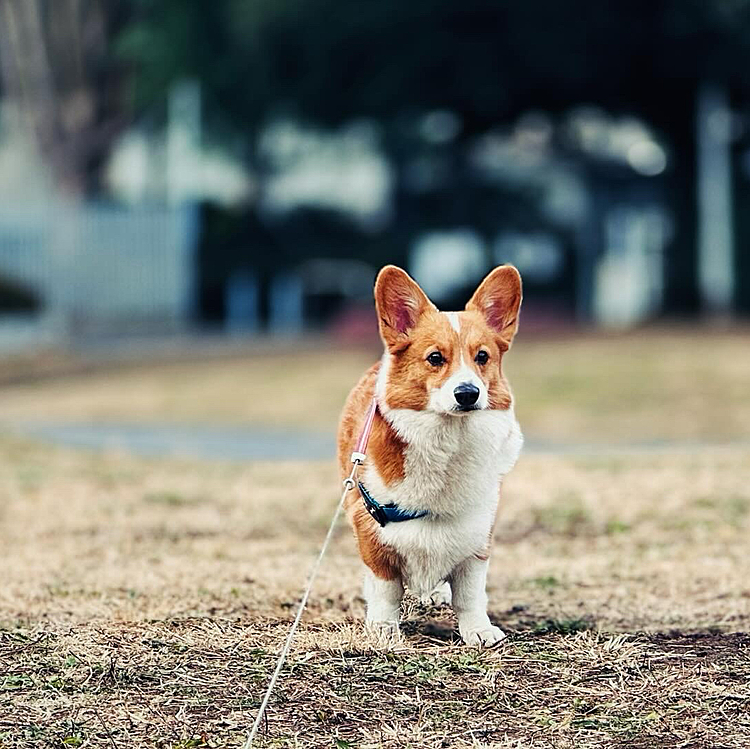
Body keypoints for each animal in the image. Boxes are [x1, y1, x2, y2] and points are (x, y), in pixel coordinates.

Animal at [340, 266, 524, 644]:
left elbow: (470, 592)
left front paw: (478, 630)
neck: (448, 440)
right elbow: (385, 588)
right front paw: (384, 629)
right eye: (435, 358)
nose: (467, 393)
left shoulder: (477, 534)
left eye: (482, 357)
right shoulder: (371, 529)